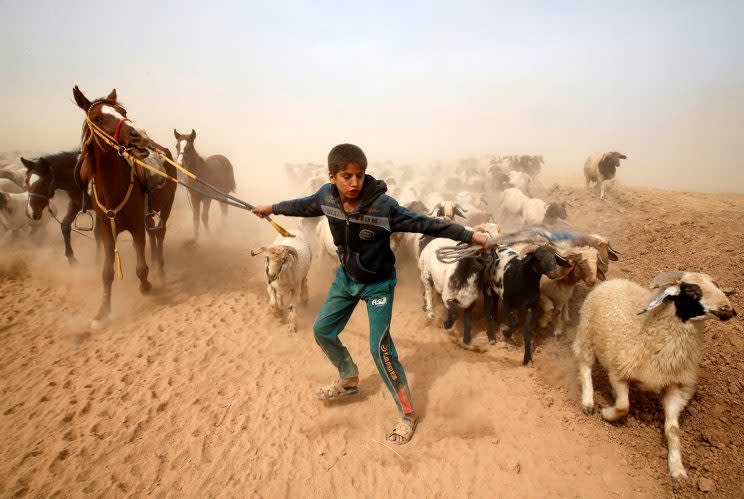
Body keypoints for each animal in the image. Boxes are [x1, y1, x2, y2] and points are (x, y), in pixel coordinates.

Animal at [72, 87, 177, 328]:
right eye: (98, 118)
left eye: (123, 112)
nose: (139, 135)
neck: (114, 191)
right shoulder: (106, 231)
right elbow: (107, 272)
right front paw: (102, 312)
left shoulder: (136, 226)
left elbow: (140, 268)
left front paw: (146, 286)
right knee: (154, 233)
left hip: (167, 206)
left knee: (160, 233)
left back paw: (160, 270)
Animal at [572, 272, 736, 482]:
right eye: (691, 291)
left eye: (717, 285)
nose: (728, 309)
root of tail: (615, 281)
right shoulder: (618, 371)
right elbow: (623, 406)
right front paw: (607, 414)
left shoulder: (676, 387)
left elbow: (672, 430)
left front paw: (677, 469)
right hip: (586, 333)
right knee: (585, 365)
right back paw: (588, 402)